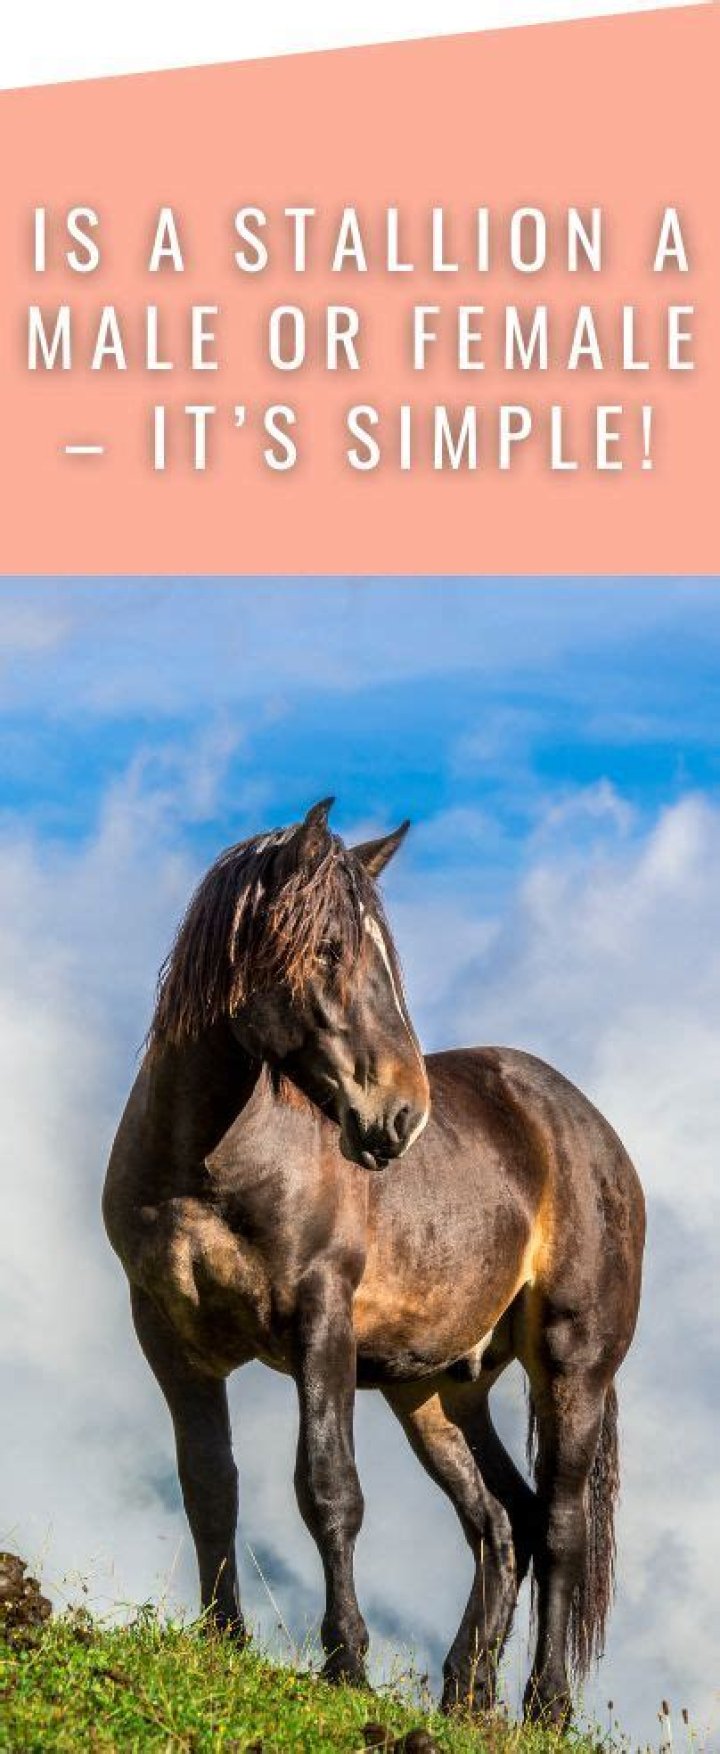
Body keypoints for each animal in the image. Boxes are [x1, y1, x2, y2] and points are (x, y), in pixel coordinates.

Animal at [103, 799, 645, 1726]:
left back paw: (545, 1707)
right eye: (327, 949)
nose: (401, 1116)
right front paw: (224, 1643)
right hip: (434, 1391)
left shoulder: (320, 1321)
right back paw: (465, 1696)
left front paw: (345, 1664)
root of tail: (591, 1131)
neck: (207, 1164)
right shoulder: (169, 1337)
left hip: (571, 1366)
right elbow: (209, 1485)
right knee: (504, 1521)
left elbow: (329, 1491)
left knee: (562, 1524)